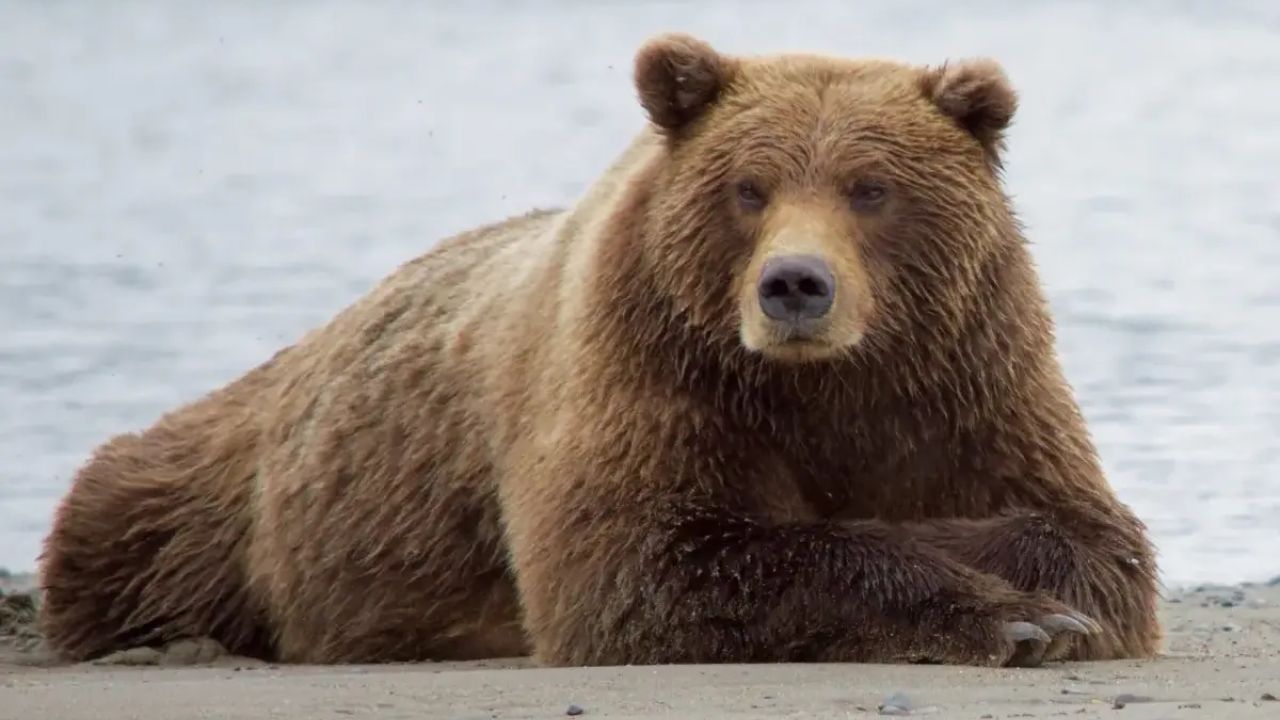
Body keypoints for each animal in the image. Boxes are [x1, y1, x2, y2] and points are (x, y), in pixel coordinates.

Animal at [37, 30, 1162, 666]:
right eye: (749, 186)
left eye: (869, 187)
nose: (795, 285)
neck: (823, 385)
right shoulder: (649, 369)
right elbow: (644, 561)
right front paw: (1013, 619)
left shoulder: (966, 377)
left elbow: (1085, 533)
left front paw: (1031, 592)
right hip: (215, 499)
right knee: (125, 520)